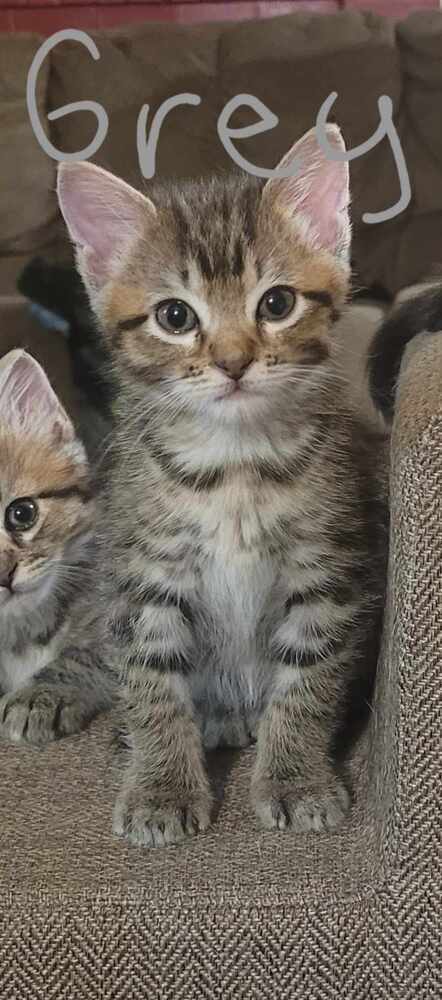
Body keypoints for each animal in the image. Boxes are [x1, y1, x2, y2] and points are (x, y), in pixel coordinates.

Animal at [57, 125, 388, 844]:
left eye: (277, 303)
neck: (234, 466)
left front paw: (295, 776)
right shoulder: (143, 572)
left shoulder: (327, 569)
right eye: (175, 316)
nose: (234, 362)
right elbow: (152, 682)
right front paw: (160, 786)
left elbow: (309, 678)